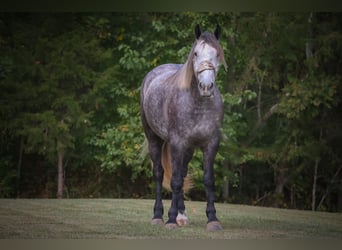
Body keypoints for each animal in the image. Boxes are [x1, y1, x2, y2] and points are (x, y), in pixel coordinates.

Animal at [140, 23, 227, 230]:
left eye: (217, 53)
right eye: (195, 53)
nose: (206, 86)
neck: (198, 105)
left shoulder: (210, 144)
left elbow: (208, 180)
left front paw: (212, 219)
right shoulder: (177, 144)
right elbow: (176, 180)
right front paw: (170, 219)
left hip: (188, 149)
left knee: (183, 172)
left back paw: (182, 215)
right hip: (154, 139)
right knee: (159, 173)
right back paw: (158, 216)